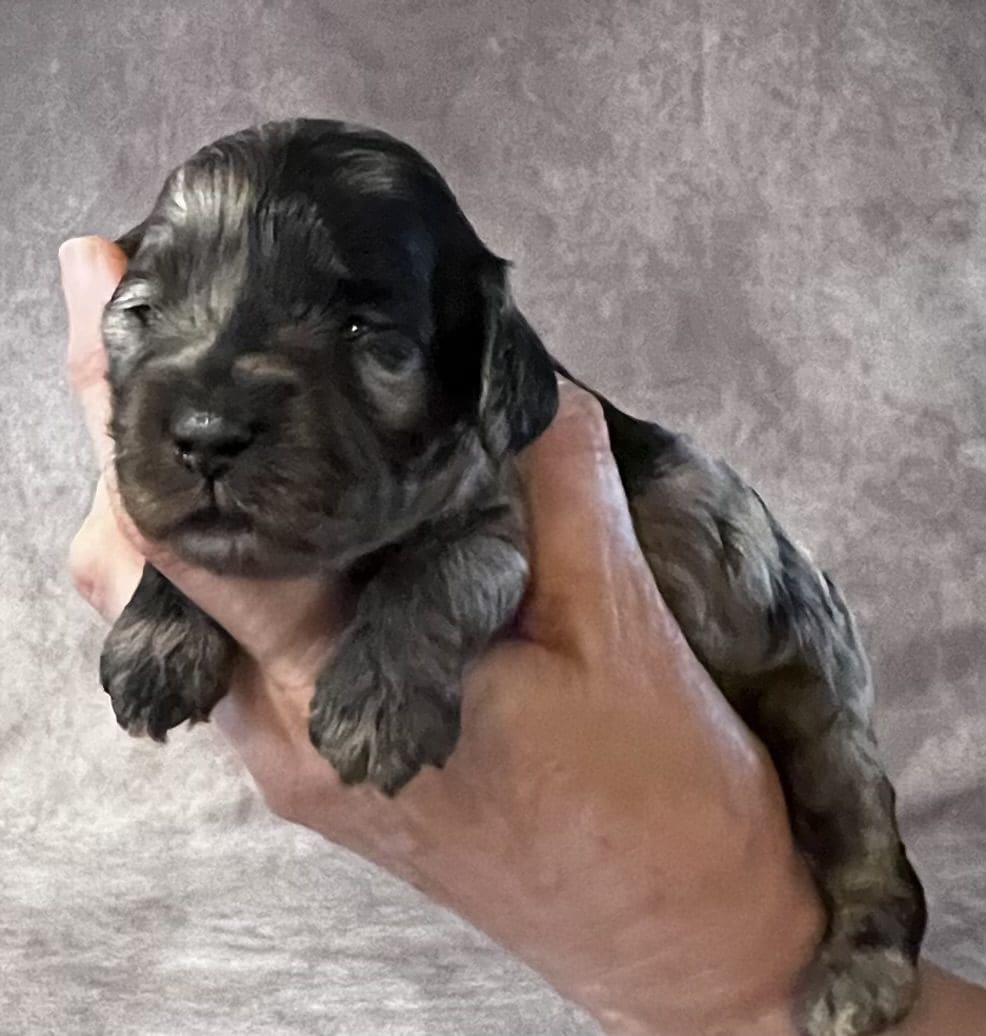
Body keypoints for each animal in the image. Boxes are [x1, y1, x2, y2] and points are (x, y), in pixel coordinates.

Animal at [98, 119, 923, 1036]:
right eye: (142, 313)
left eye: (364, 335)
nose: (207, 433)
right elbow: (184, 545)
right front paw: (156, 637)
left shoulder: (496, 518)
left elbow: (432, 571)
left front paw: (378, 702)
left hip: (823, 711)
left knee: (872, 844)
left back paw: (861, 974)